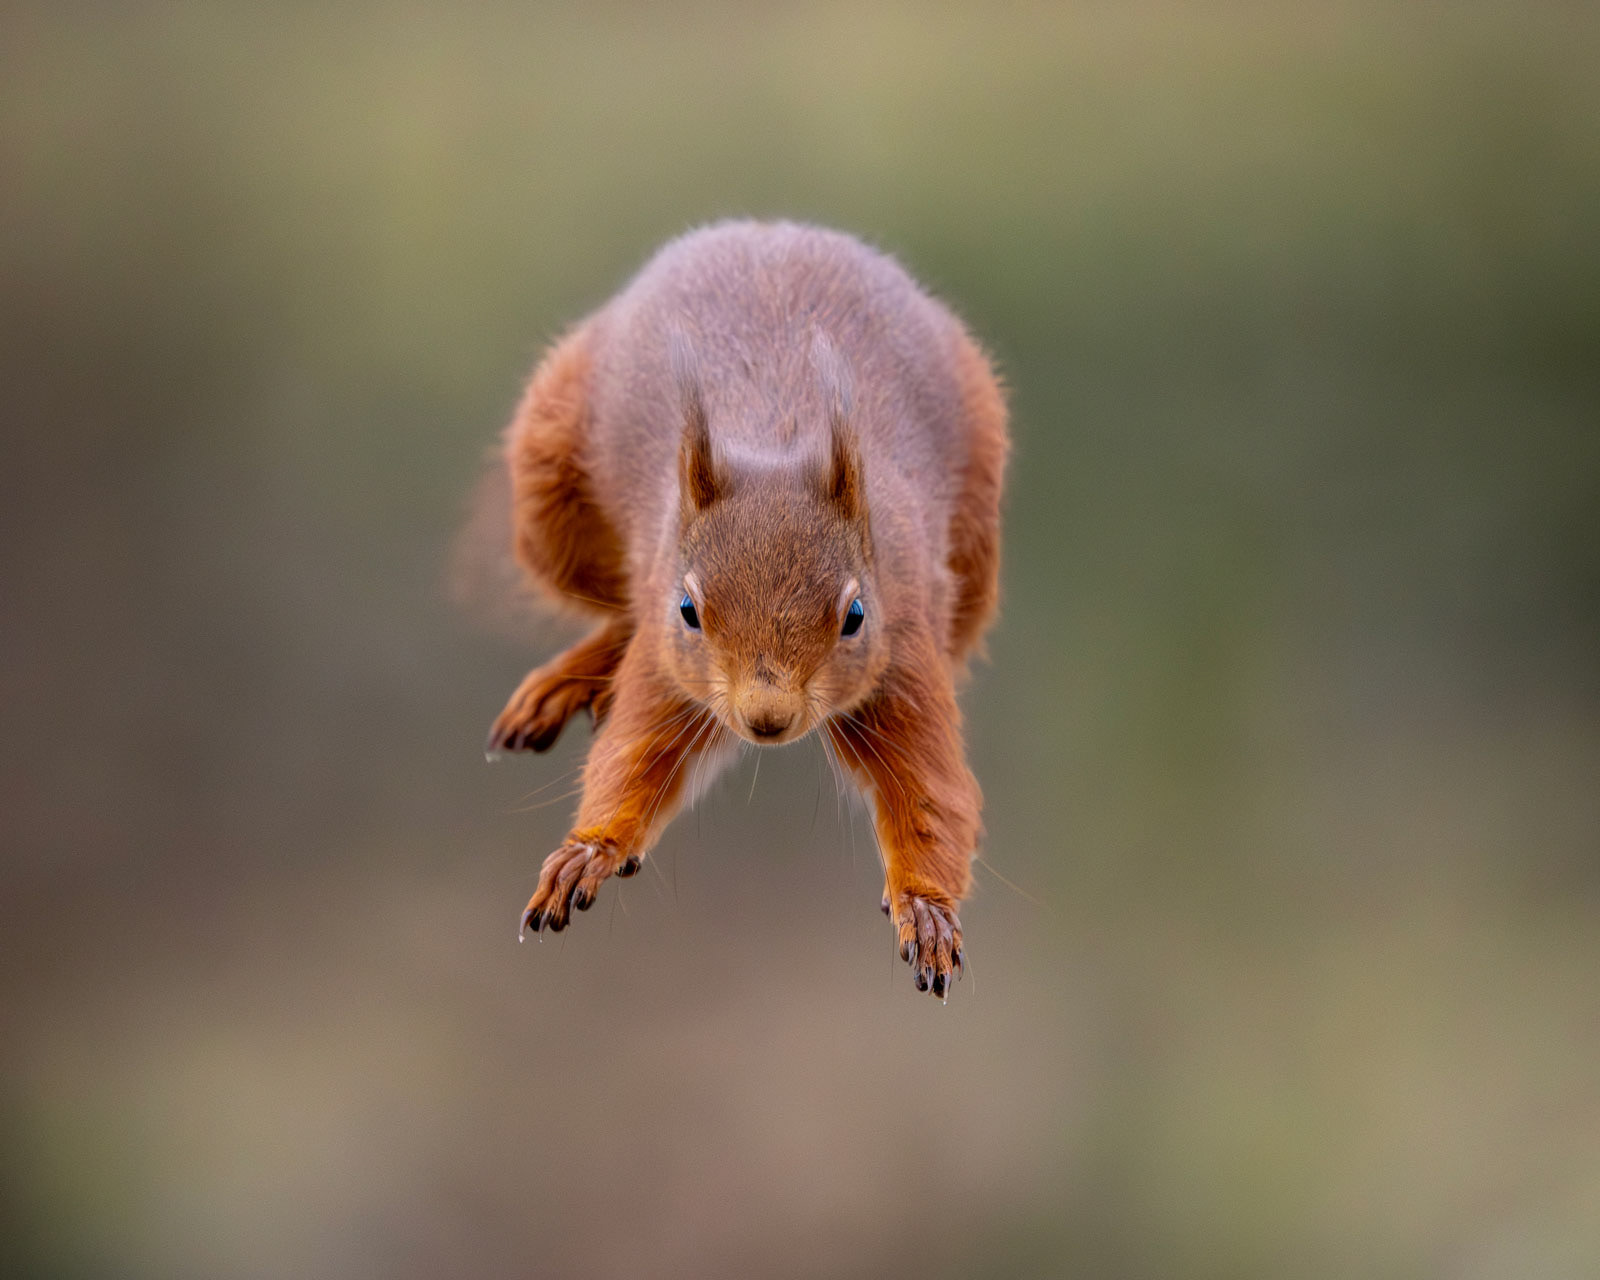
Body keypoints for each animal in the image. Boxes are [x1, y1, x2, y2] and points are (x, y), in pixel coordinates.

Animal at [486, 220, 1009, 997]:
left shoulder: (907, 651)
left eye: (855, 616)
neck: (777, 447)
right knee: (611, 610)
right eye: (688, 610)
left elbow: (933, 793)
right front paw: (592, 850)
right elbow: (633, 755)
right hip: (548, 485)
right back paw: (563, 682)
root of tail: (776, 228)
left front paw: (926, 906)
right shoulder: (665, 665)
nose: (767, 719)